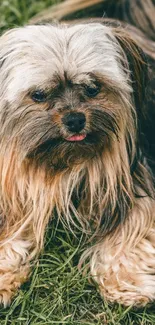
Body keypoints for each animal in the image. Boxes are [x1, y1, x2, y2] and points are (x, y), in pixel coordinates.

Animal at [0, 0, 155, 308]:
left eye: (93, 87)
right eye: (38, 94)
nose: (74, 119)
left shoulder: (134, 181)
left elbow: (131, 234)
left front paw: (126, 284)